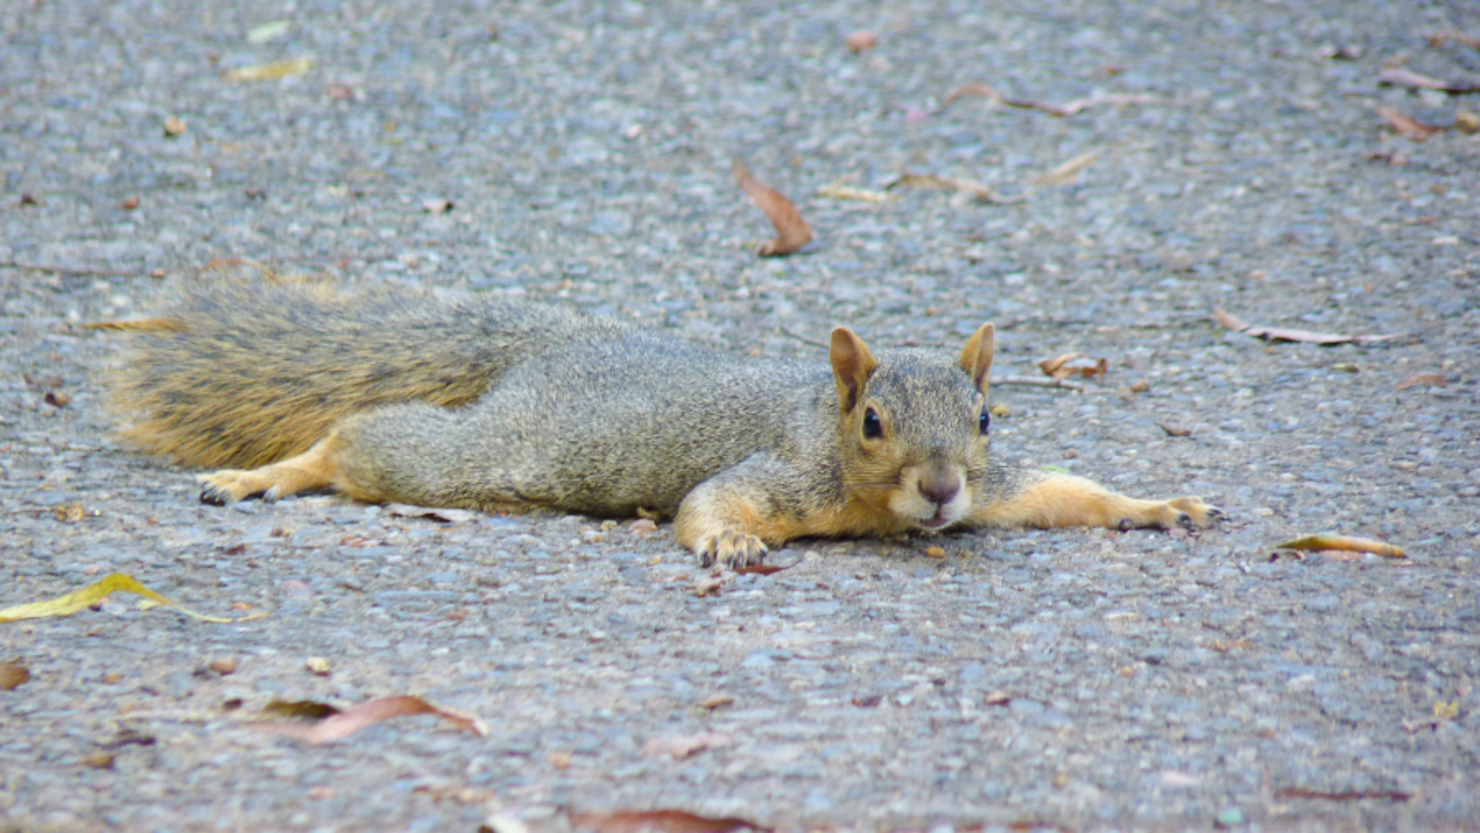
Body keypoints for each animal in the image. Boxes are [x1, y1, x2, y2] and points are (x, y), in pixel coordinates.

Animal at [101, 273, 1213, 568]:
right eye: (872, 422)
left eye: (986, 417)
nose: (942, 492)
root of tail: (554, 342)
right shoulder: (783, 471)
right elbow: (712, 498)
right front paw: (724, 541)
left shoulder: (1001, 487)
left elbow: (1063, 492)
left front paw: (1156, 506)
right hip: (488, 458)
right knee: (360, 440)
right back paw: (264, 474)